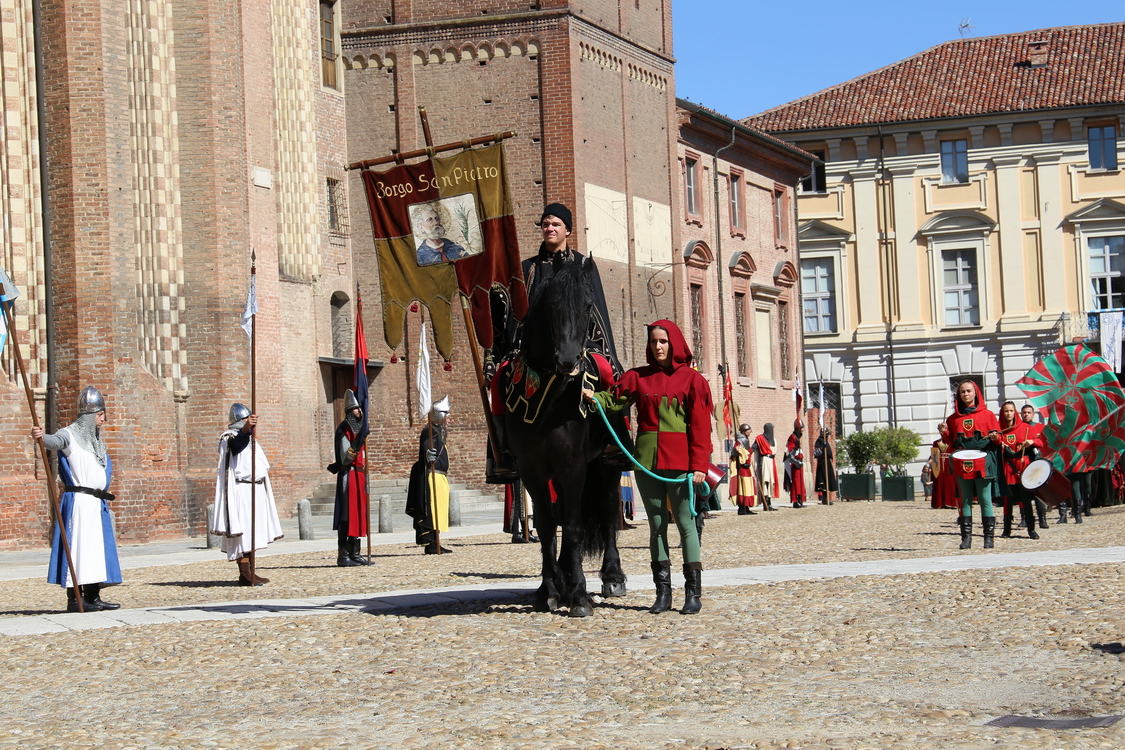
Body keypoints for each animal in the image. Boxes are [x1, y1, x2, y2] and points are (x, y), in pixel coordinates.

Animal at [506, 256, 630, 616]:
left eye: (588, 305)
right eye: (551, 306)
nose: (568, 360)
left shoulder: (574, 464)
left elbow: (574, 528)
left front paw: (578, 594)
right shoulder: (532, 470)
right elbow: (548, 526)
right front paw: (549, 589)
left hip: (606, 463)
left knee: (608, 509)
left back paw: (611, 576)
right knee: (561, 514)